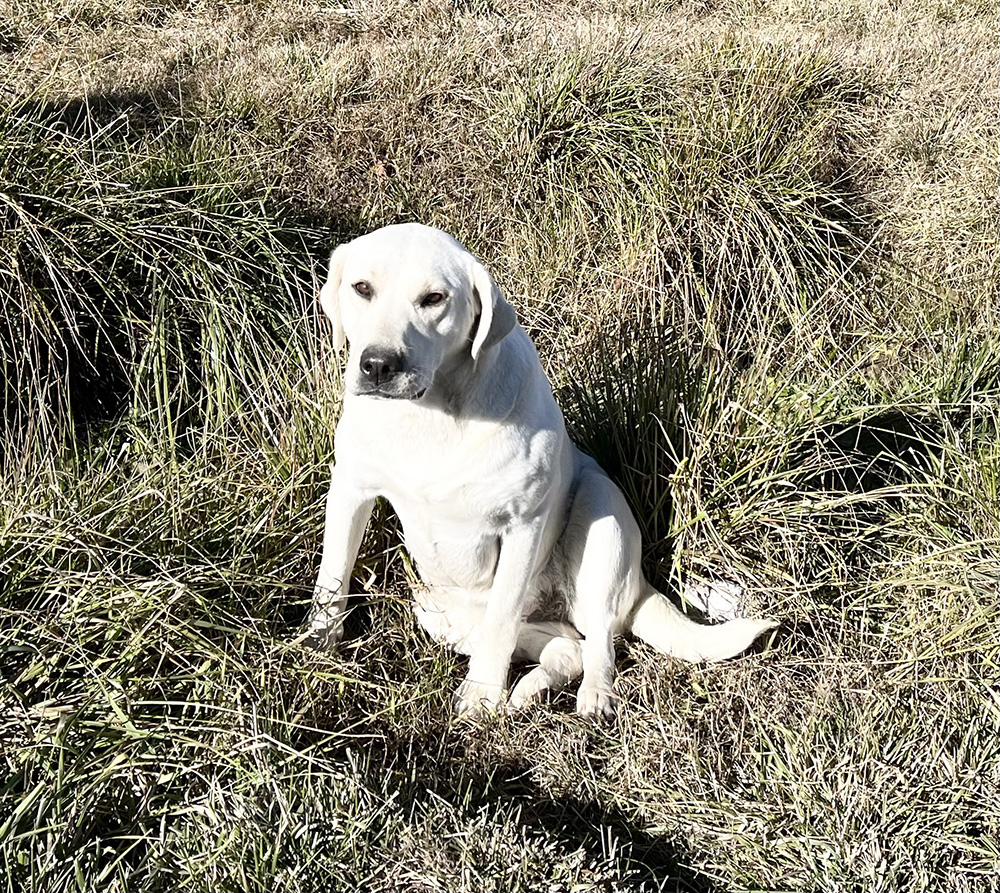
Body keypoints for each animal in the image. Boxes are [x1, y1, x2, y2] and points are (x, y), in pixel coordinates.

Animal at [300, 223, 776, 716]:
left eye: (434, 298)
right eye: (362, 288)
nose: (377, 364)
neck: (430, 416)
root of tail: (642, 584)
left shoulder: (522, 527)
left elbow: (502, 620)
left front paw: (481, 697)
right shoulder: (350, 490)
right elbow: (332, 577)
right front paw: (317, 649)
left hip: (602, 521)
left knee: (597, 639)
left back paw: (592, 696)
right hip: (436, 611)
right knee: (567, 646)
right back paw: (531, 689)